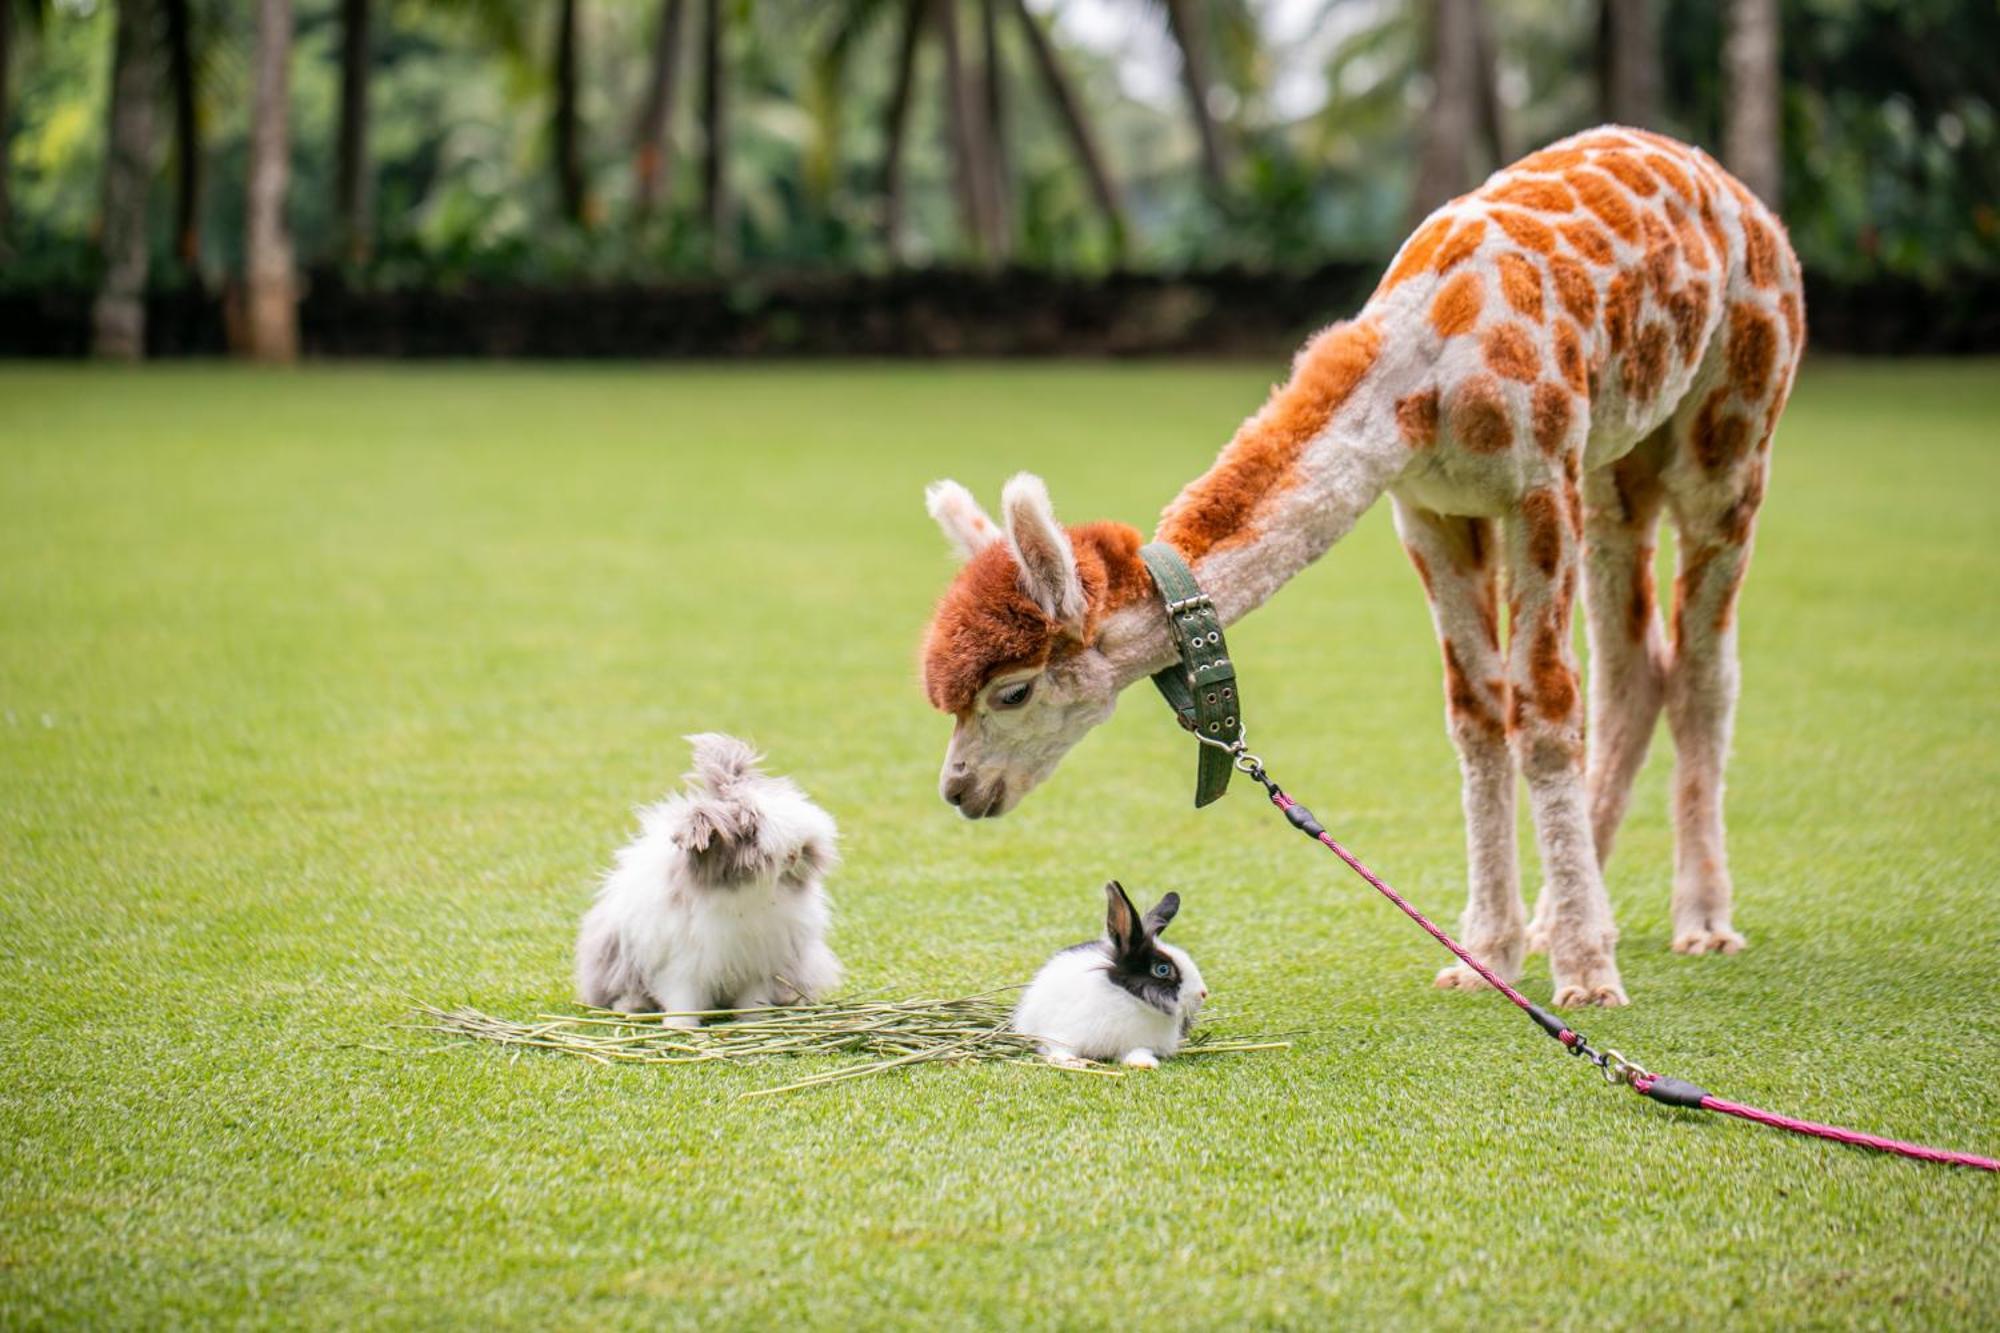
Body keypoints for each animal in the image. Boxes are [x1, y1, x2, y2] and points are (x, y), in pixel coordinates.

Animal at [1016, 876, 1200, 1064]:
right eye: (1162, 969)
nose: (1202, 993)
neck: (1130, 1000)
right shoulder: (1060, 1035)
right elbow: (1060, 1049)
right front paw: (1071, 1062)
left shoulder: (1139, 1043)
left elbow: (1138, 1051)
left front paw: (1144, 1064)